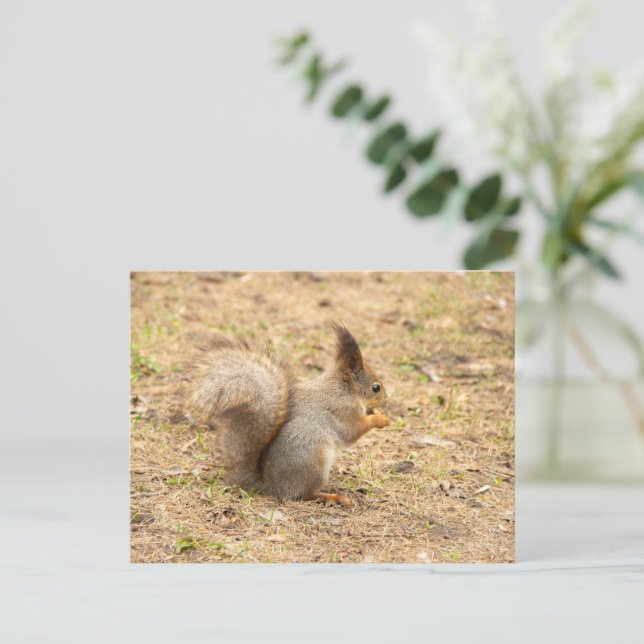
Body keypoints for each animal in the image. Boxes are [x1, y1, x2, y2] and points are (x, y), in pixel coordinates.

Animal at [183, 322, 390, 506]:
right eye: (376, 387)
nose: (386, 401)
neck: (343, 389)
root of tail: (273, 486)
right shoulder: (342, 410)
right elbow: (351, 432)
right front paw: (380, 419)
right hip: (314, 458)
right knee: (306, 494)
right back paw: (334, 497)